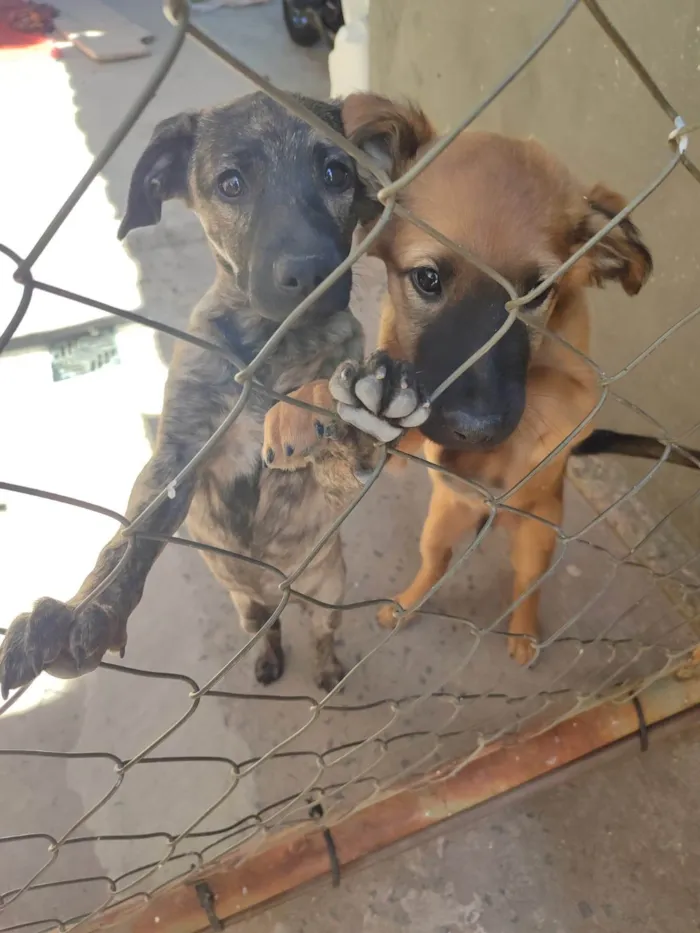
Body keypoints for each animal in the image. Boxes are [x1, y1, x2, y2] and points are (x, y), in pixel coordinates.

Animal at [0, 91, 402, 696]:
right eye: (230, 183)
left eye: (337, 173)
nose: (311, 275)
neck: (269, 344)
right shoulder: (180, 454)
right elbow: (131, 539)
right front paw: (87, 610)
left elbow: (332, 447)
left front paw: (343, 413)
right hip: (246, 605)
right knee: (268, 628)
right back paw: (266, 658)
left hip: (328, 591)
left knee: (321, 634)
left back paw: (327, 667)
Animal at [262, 93, 652, 664]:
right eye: (427, 278)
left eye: (538, 294)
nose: (475, 431)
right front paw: (307, 407)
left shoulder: (581, 392)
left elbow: (541, 402)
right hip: (439, 523)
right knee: (437, 563)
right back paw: (403, 606)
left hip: (539, 537)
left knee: (527, 587)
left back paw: (523, 636)